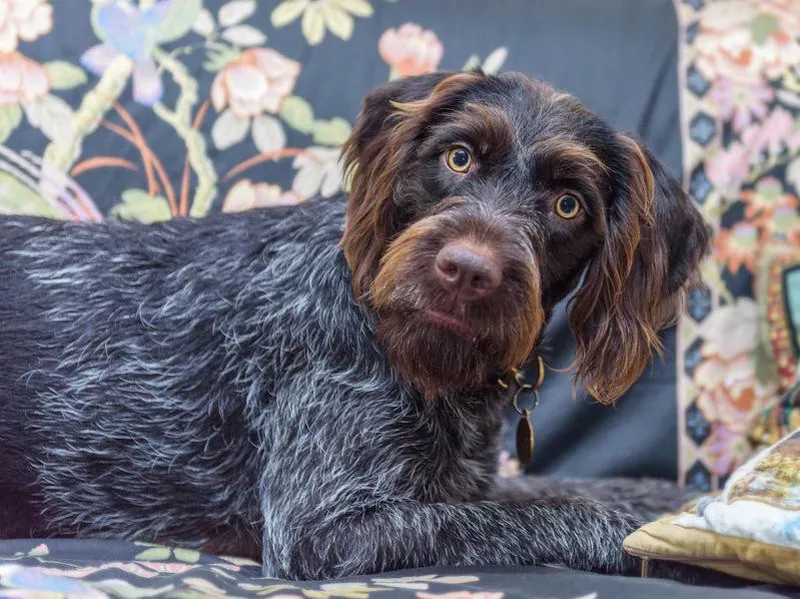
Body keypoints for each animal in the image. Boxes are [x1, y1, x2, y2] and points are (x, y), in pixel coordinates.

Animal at [0, 70, 712, 580]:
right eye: (458, 158)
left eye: (568, 204)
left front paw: (673, 504)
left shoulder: (461, 483)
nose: (466, 270)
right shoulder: (322, 528)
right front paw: (672, 549)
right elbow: (563, 515)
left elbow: (581, 491)